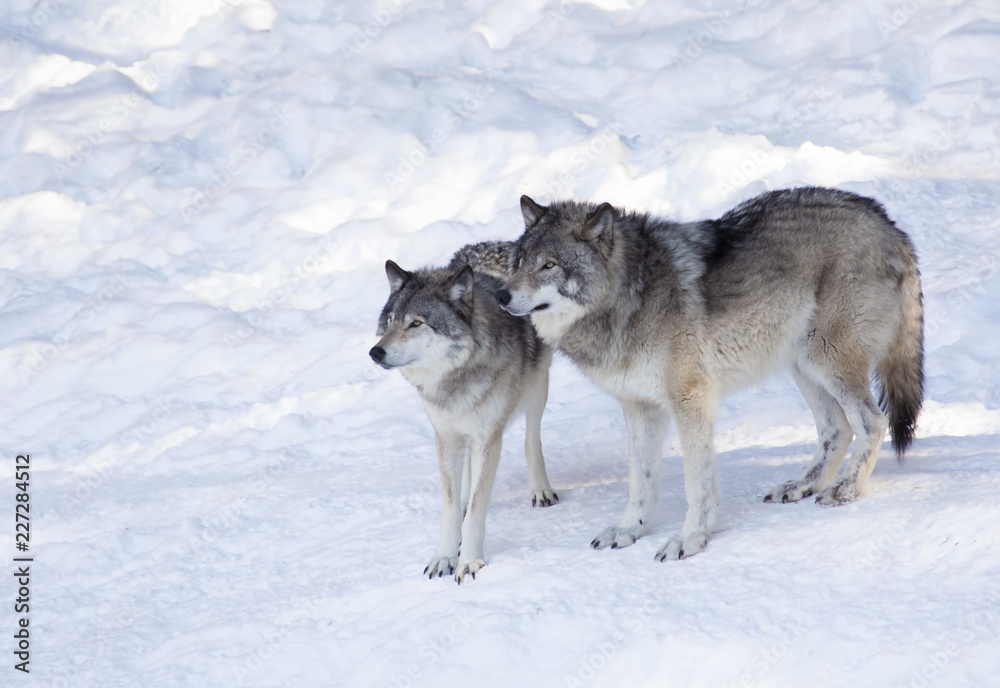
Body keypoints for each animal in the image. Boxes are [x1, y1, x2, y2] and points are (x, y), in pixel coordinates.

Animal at [369, 241, 558, 583]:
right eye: (390, 322)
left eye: (416, 323)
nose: (375, 352)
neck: (456, 379)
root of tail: (496, 243)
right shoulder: (445, 436)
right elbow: (449, 508)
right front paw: (444, 556)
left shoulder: (488, 437)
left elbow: (478, 511)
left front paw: (469, 562)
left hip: (536, 389)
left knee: (531, 439)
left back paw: (541, 490)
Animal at [497, 187, 924, 560]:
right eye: (520, 263)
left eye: (549, 265)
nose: (501, 295)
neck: (630, 295)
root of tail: (886, 220)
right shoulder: (639, 408)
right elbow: (640, 479)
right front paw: (629, 530)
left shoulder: (690, 400)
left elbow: (695, 483)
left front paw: (689, 540)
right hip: (803, 366)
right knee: (837, 430)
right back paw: (800, 486)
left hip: (827, 361)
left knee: (871, 422)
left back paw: (845, 490)